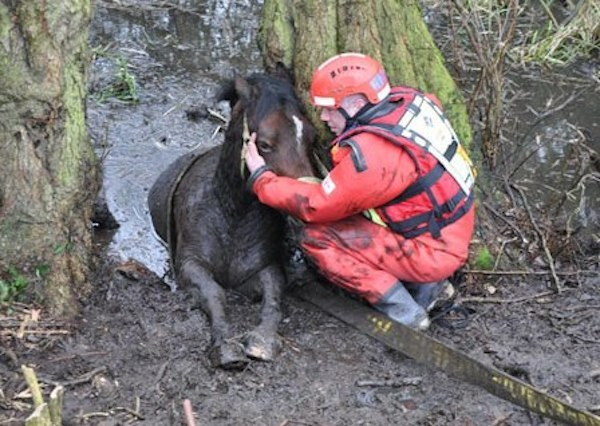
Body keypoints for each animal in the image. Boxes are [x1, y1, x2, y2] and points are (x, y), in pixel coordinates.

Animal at [148, 68, 316, 368]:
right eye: (265, 144)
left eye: (310, 137)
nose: (306, 205)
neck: (232, 215)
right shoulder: (190, 267)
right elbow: (216, 294)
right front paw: (225, 346)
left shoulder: (265, 269)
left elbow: (273, 296)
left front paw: (262, 341)